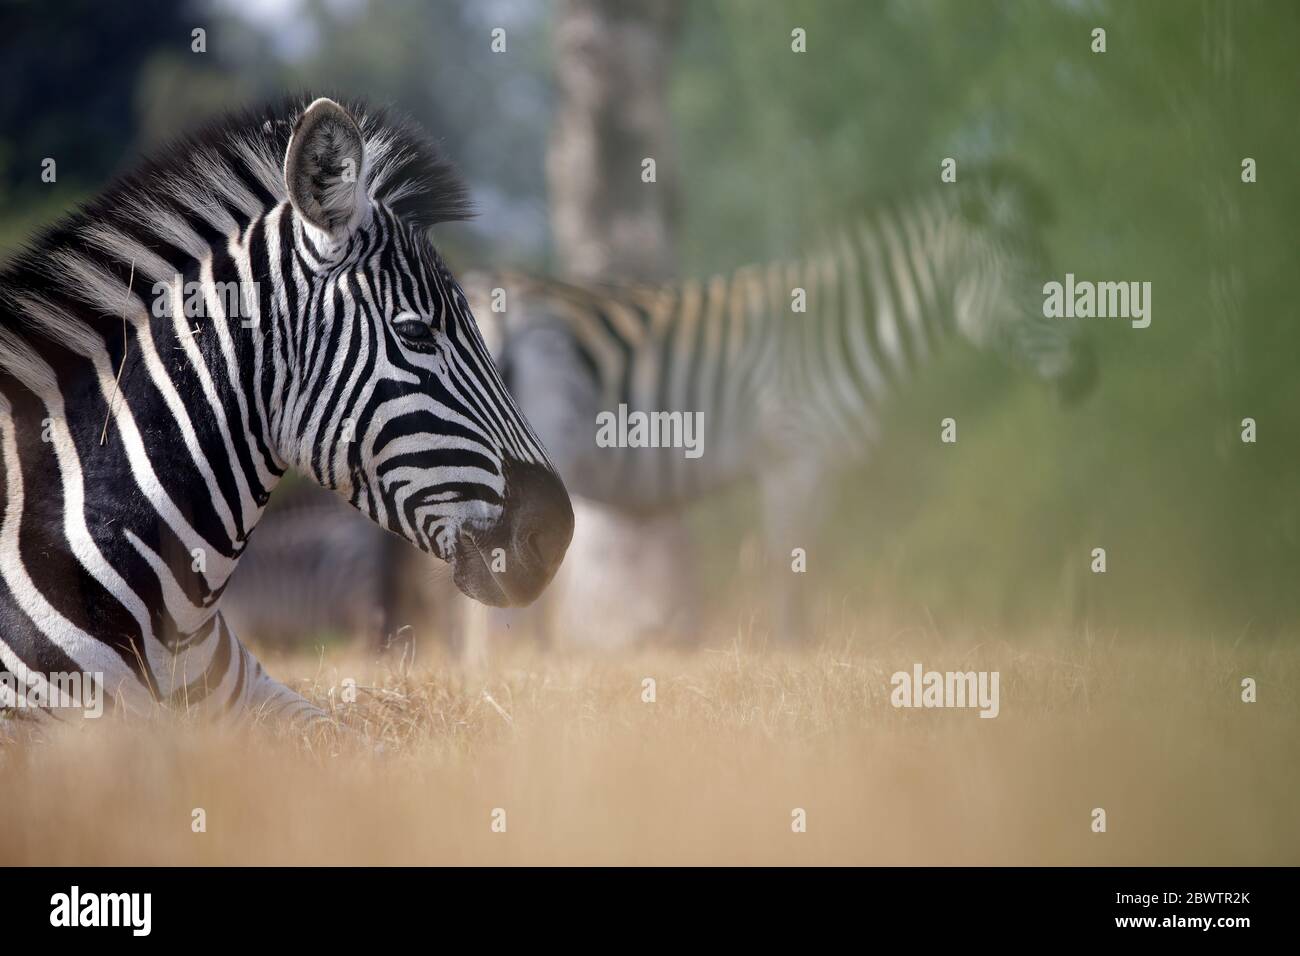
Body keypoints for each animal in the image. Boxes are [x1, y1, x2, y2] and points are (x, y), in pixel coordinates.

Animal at [463, 167, 1097, 643]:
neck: (839, 335)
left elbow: (804, 558)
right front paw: (790, 651)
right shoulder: (793, 454)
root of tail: (490, 291)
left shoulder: (821, 466)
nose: (1085, 376)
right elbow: (786, 562)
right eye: (1028, 276)